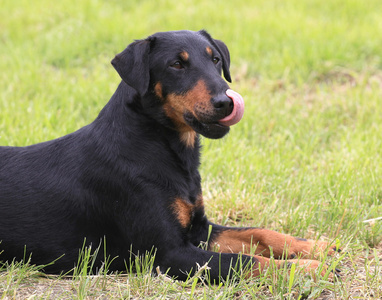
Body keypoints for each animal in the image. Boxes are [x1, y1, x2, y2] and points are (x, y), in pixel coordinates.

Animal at [0, 30, 340, 282]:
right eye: (176, 64)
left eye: (216, 59)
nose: (226, 102)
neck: (161, 147)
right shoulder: (168, 254)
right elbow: (245, 260)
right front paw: (309, 269)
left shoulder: (199, 229)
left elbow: (259, 233)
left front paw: (316, 247)